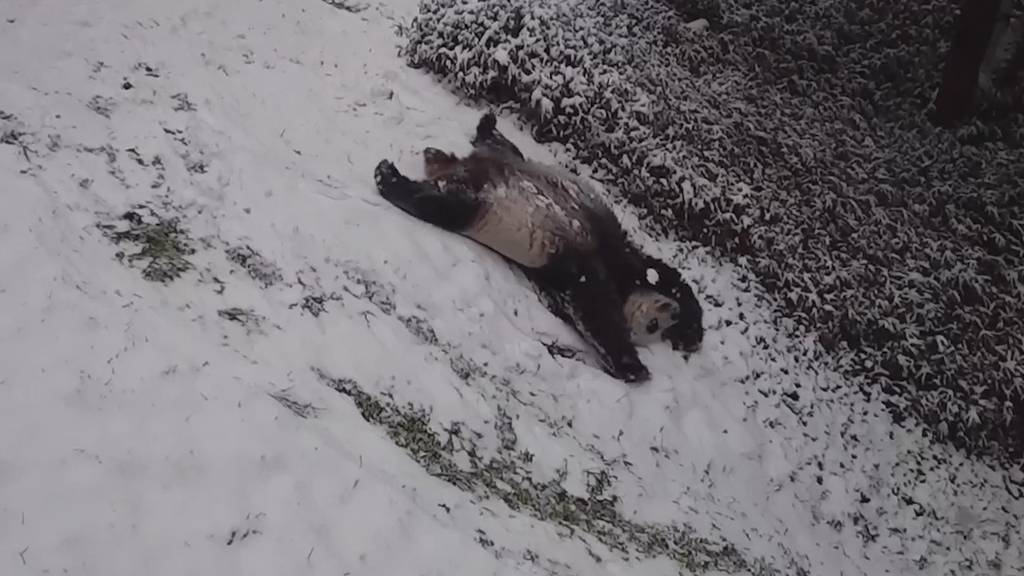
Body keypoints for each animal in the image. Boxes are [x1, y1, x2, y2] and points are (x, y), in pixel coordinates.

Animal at [376, 111, 704, 381]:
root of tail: (455, 165)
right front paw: (634, 364)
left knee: (475, 169)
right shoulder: (600, 258)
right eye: (653, 325)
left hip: (494, 183)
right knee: (446, 201)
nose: (671, 317)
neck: (626, 290)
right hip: (488, 202)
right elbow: (603, 305)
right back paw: (390, 175)